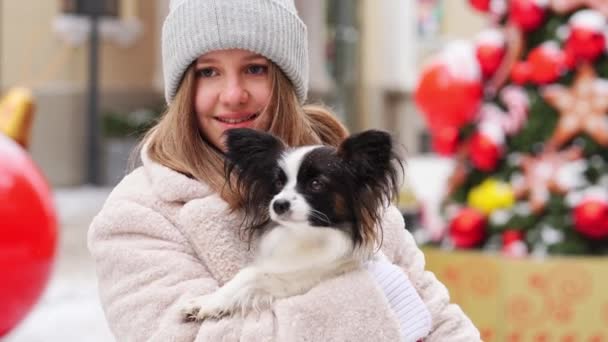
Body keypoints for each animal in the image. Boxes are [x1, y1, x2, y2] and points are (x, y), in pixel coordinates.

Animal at [183, 127, 402, 320]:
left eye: (316, 184)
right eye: (279, 183)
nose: (278, 204)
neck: (306, 234)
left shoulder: (304, 279)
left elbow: (251, 273)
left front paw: (211, 303)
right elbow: (248, 275)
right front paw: (207, 301)